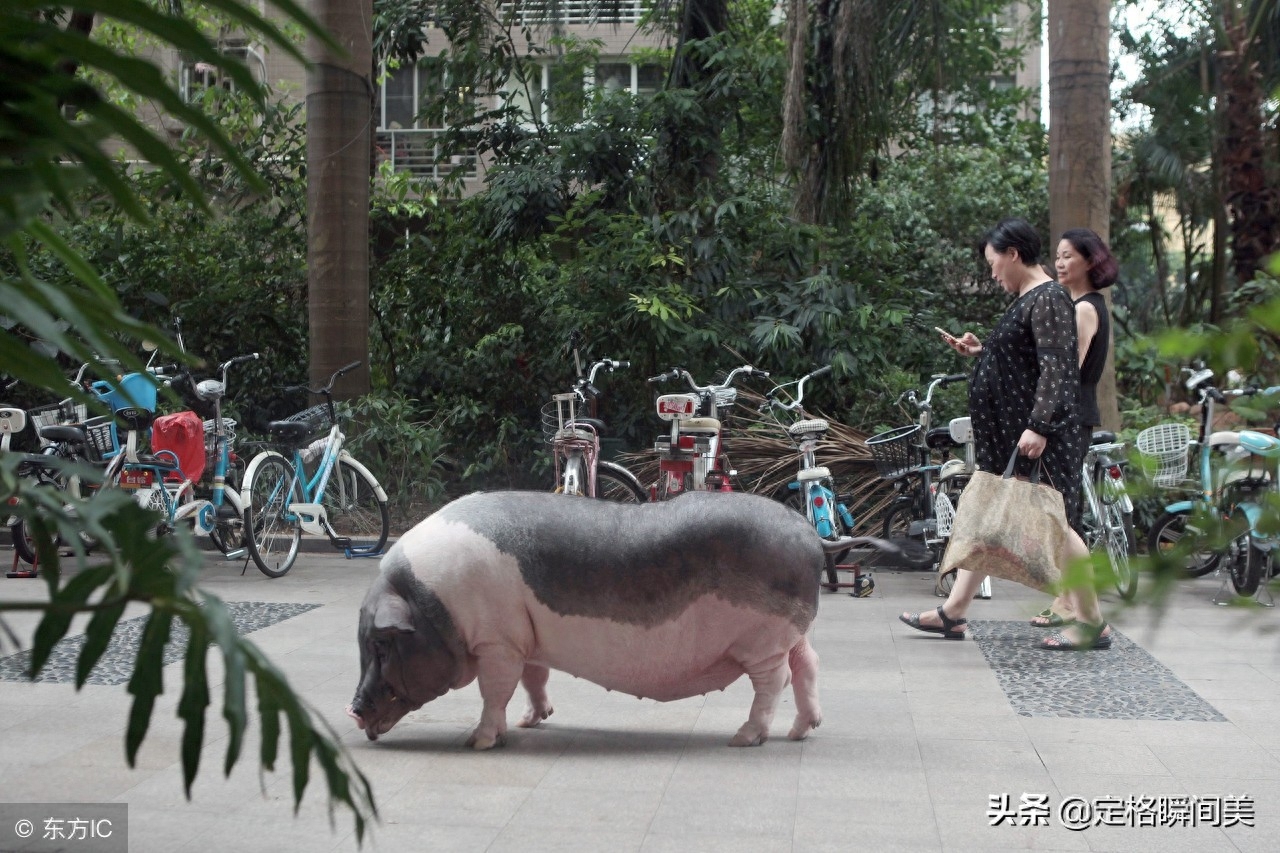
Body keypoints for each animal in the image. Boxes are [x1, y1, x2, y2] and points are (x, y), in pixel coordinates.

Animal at [345, 489, 855, 747]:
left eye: (381, 645)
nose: (353, 710)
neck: (431, 600)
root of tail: (813, 536)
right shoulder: (525, 637)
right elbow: (533, 678)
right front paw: (533, 722)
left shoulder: (497, 641)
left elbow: (496, 690)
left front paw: (478, 741)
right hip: (789, 634)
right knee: (807, 665)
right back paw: (801, 731)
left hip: (763, 639)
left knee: (774, 681)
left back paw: (744, 738)